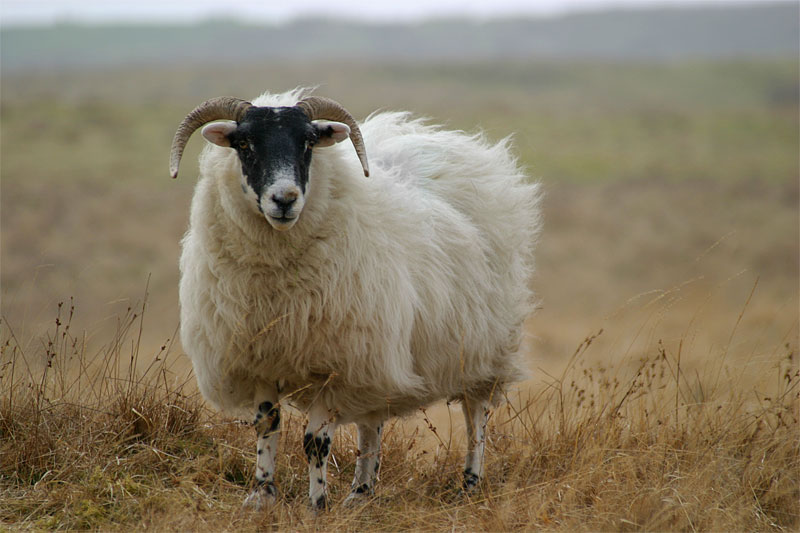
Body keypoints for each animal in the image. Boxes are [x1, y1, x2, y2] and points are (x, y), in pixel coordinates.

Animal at [171, 89, 540, 510]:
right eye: (244, 144)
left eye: (308, 143)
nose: (285, 199)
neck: (276, 284)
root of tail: (450, 145)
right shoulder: (260, 356)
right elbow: (267, 427)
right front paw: (261, 495)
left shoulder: (333, 364)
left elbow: (315, 442)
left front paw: (317, 505)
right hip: (376, 354)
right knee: (371, 424)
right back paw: (361, 493)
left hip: (482, 348)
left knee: (475, 418)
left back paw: (469, 484)